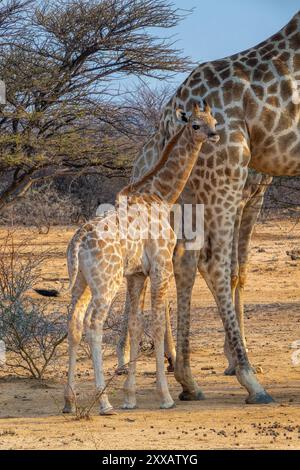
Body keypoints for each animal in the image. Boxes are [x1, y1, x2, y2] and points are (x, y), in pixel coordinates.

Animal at [63, 101, 218, 414]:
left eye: (214, 120)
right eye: (195, 124)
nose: (214, 135)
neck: (160, 196)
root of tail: (78, 241)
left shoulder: (136, 274)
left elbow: (135, 325)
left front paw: (130, 397)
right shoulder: (160, 265)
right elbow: (156, 324)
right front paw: (164, 396)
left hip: (82, 282)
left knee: (74, 323)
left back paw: (70, 401)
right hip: (106, 283)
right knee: (94, 325)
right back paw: (103, 402)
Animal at [120, 9, 300, 402]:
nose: (210, 131)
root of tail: (171, 111)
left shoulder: (253, 194)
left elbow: (239, 271)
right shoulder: (248, 193)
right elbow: (233, 269)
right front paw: (235, 360)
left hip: (194, 194)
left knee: (179, 264)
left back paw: (186, 377)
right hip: (222, 175)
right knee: (203, 264)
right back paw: (249, 382)